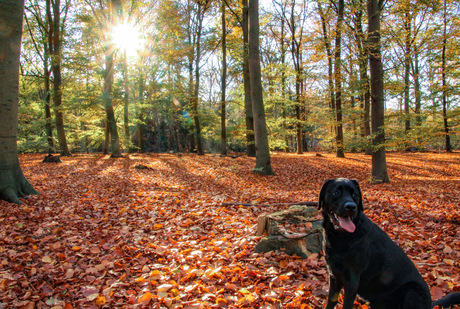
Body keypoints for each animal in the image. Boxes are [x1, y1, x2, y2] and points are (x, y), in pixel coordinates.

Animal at [320, 178, 460, 308]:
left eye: (355, 195)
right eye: (336, 192)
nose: (351, 206)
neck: (340, 236)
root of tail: (430, 304)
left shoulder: (352, 280)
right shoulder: (334, 275)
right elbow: (331, 301)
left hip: (412, 290)